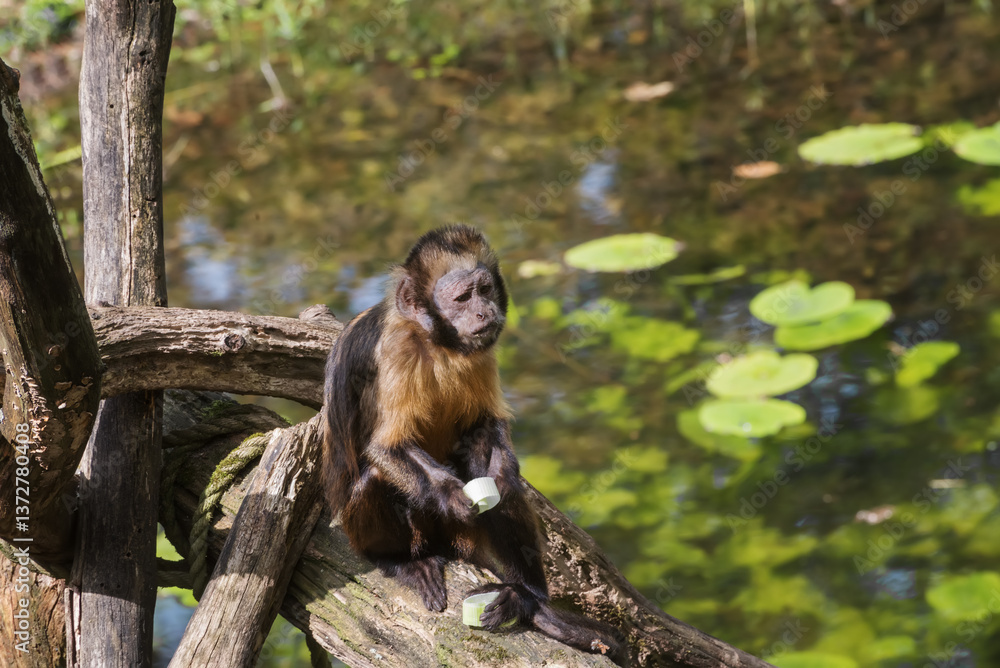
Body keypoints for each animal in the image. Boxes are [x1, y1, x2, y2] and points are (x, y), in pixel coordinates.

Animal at [321, 225, 626, 662]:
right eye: (463, 298)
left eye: (484, 290)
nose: (484, 312)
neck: (437, 342)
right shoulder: (396, 348)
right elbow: (385, 450)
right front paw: (455, 497)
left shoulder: (482, 351)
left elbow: (487, 434)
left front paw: (498, 473)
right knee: (377, 479)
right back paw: (399, 561)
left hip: (462, 539)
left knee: (497, 479)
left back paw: (527, 598)